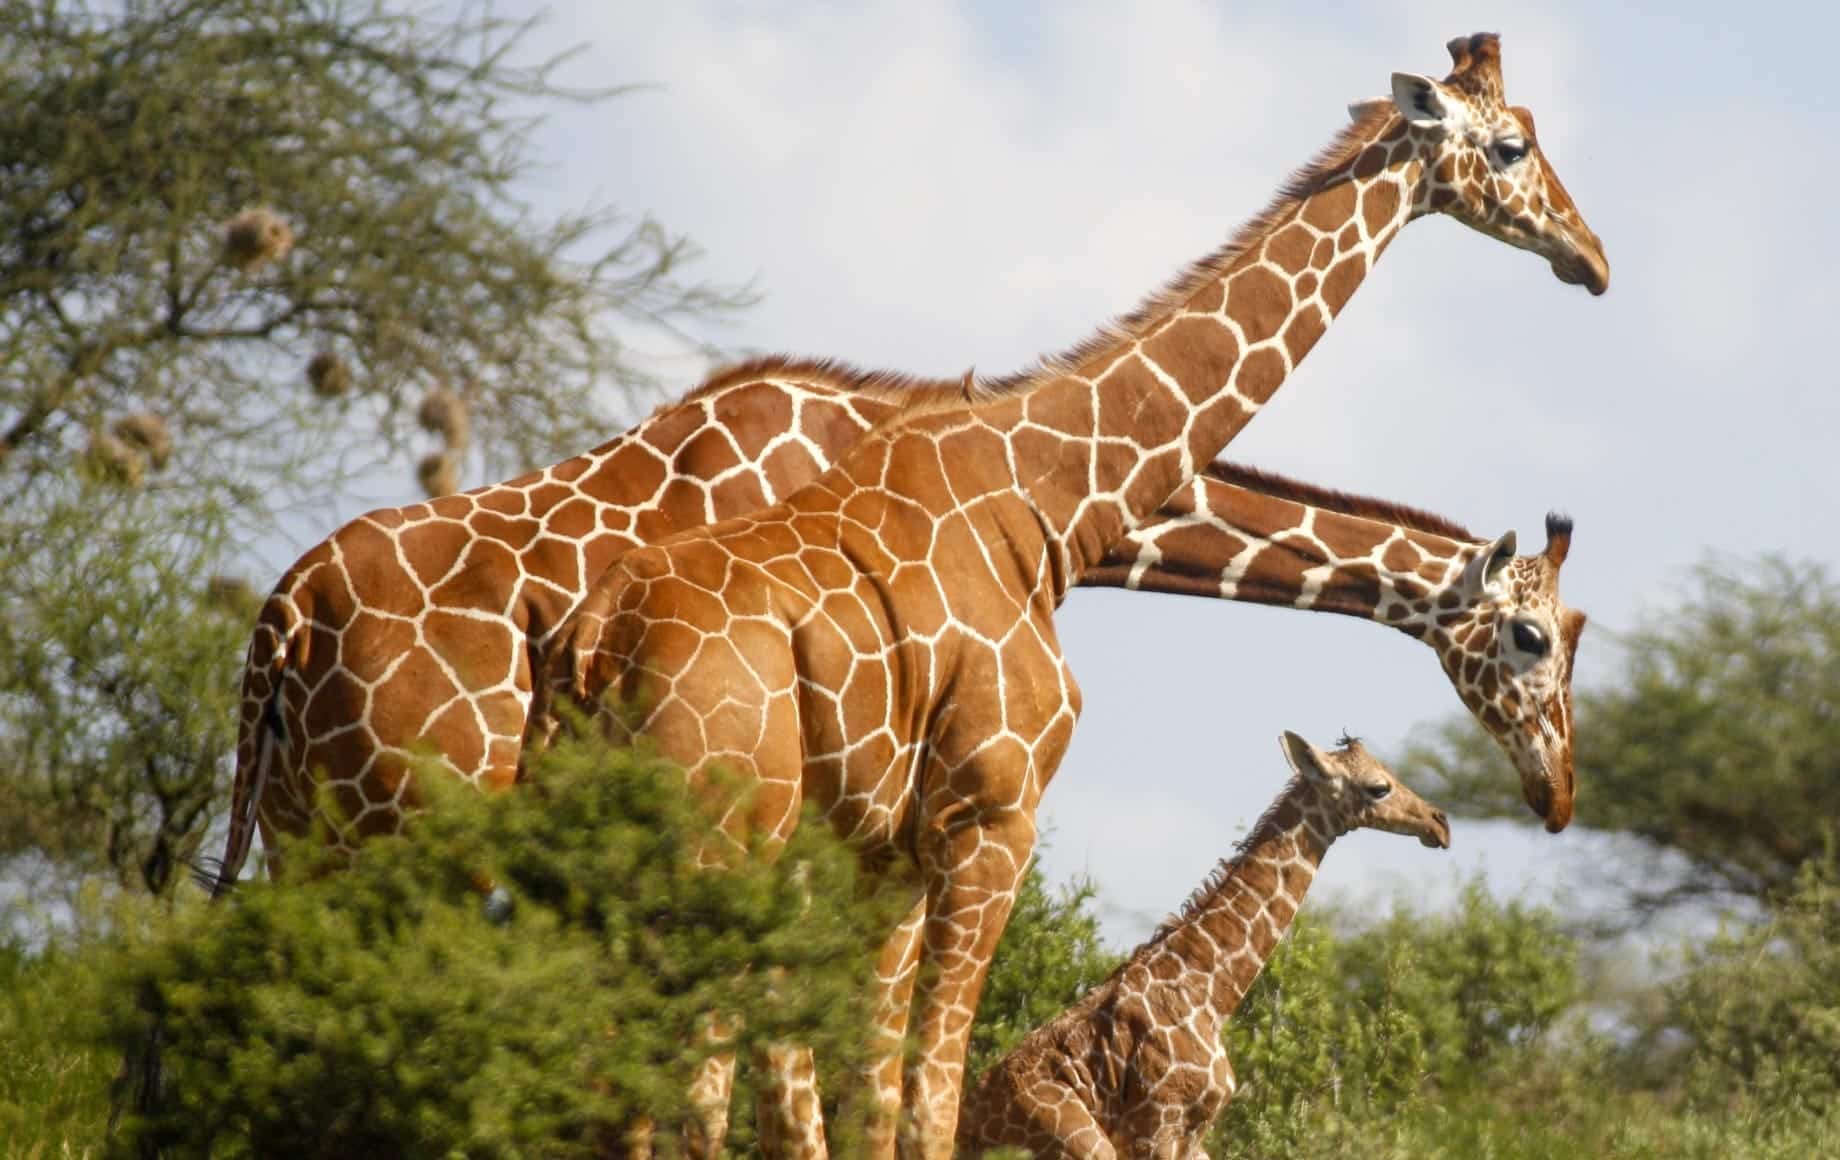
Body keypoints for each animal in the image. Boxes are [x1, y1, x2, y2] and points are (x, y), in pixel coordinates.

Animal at [949, 732, 1449, 1156]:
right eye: (1379, 787)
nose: (1439, 823)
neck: (1208, 990)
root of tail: (963, 1129)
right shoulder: (1159, 1124)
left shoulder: (1195, 1135)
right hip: (1079, 1141)